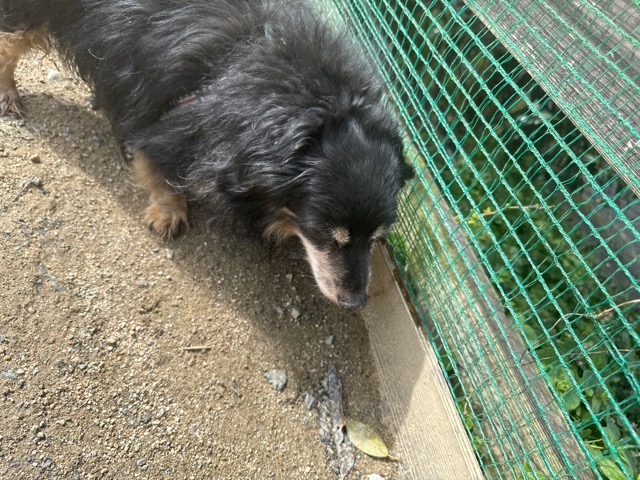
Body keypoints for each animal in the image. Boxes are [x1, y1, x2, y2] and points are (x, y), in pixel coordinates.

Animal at [0, 0, 413, 310]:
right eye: (322, 233)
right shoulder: (178, 123)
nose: (355, 303)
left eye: (377, 237)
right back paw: (8, 94)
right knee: (11, 42)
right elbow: (157, 162)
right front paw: (167, 213)